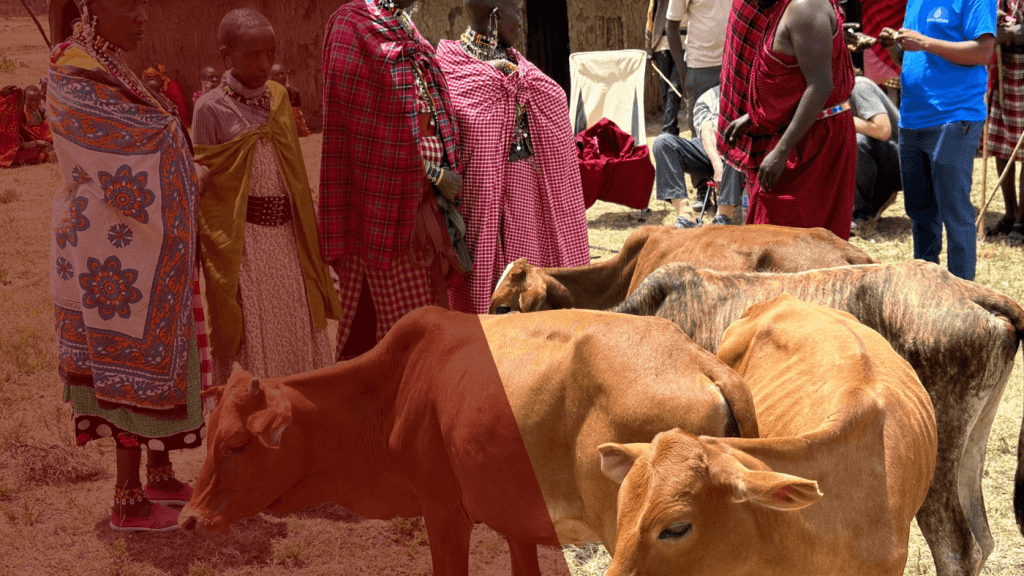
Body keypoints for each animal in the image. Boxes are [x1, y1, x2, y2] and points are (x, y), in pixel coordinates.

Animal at [178, 307, 759, 575]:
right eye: (209, 440)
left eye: (236, 445)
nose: (188, 520)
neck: (398, 385)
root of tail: (696, 357)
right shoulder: (517, 520)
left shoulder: (443, 514)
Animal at [602, 260, 1024, 576]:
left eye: (675, 529)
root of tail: (971, 293)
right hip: (972, 441)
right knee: (983, 537)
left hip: (943, 454)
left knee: (958, 550)